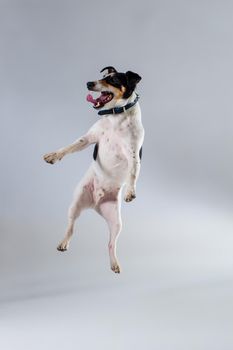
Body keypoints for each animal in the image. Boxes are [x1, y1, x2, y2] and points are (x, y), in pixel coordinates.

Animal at [42, 66, 143, 274]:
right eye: (102, 76)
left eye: (113, 80)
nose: (89, 83)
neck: (115, 116)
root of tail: (95, 204)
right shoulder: (89, 139)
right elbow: (69, 147)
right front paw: (53, 156)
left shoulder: (132, 152)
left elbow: (133, 172)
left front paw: (130, 192)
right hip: (75, 204)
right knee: (71, 227)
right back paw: (63, 243)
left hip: (116, 222)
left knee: (111, 244)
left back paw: (114, 263)